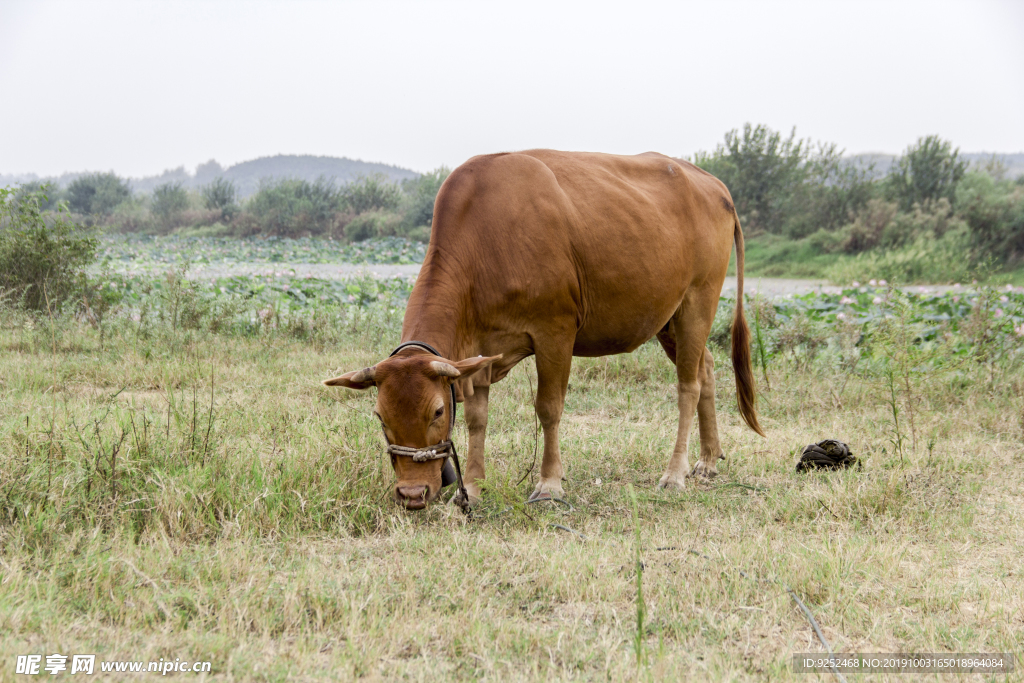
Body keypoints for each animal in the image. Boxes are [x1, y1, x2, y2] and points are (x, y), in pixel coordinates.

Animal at [323, 152, 765, 509]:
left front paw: (550, 484)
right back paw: (707, 460)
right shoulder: (480, 351)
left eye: (436, 411)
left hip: (697, 303)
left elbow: (549, 408)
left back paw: (675, 473)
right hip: (667, 318)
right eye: (380, 416)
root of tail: (713, 183)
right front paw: (475, 488)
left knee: (688, 386)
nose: (412, 494)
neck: (487, 239)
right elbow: (478, 419)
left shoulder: (555, 331)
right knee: (706, 368)